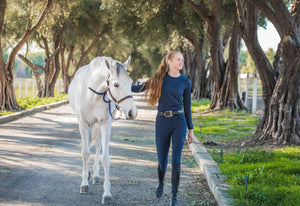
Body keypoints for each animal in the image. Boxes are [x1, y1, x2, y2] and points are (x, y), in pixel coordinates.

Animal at [68, 56, 137, 204]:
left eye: (130, 82)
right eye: (116, 85)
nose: (132, 112)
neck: (92, 95)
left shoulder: (105, 123)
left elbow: (105, 157)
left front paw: (107, 194)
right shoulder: (83, 124)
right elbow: (85, 153)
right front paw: (84, 184)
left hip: (99, 126)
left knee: (98, 146)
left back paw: (95, 175)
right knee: (89, 144)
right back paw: (88, 174)